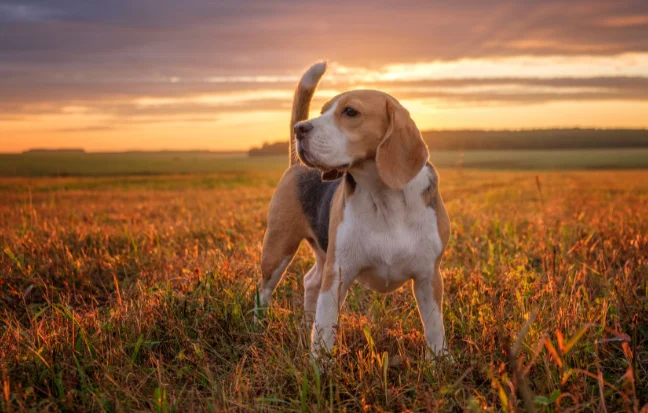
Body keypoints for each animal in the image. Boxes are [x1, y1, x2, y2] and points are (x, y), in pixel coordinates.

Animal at [256, 61, 448, 358]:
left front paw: (440, 363)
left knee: (311, 281)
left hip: (322, 252)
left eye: (350, 112)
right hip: (278, 247)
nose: (300, 129)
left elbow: (435, 328)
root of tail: (296, 165)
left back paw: (305, 325)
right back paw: (258, 327)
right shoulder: (338, 274)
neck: (384, 198)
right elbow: (325, 330)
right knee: (264, 291)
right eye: (322, 112)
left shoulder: (429, 277)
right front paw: (319, 367)